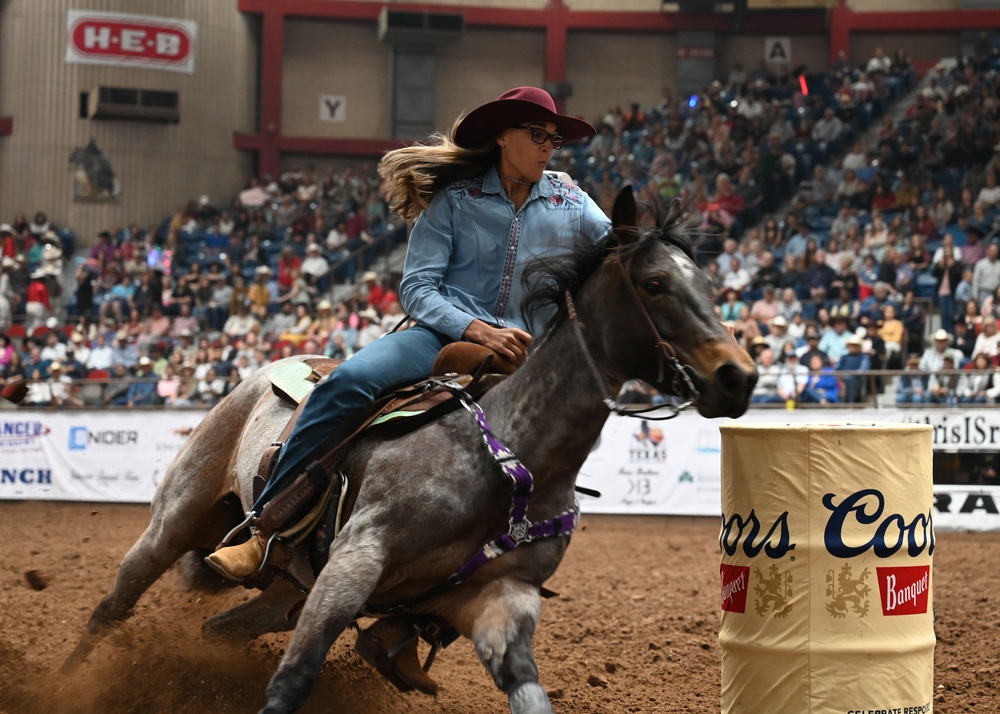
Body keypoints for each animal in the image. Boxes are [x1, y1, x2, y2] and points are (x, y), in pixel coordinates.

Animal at [72, 186, 756, 708]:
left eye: (709, 284)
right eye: (655, 283)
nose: (739, 376)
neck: (509, 452)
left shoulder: (502, 601)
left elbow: (529, 693)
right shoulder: (355, 560)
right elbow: (293, 680)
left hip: (285, 592)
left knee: (217, 627)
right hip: (178, 518)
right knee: (114, 602)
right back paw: (66, 677)